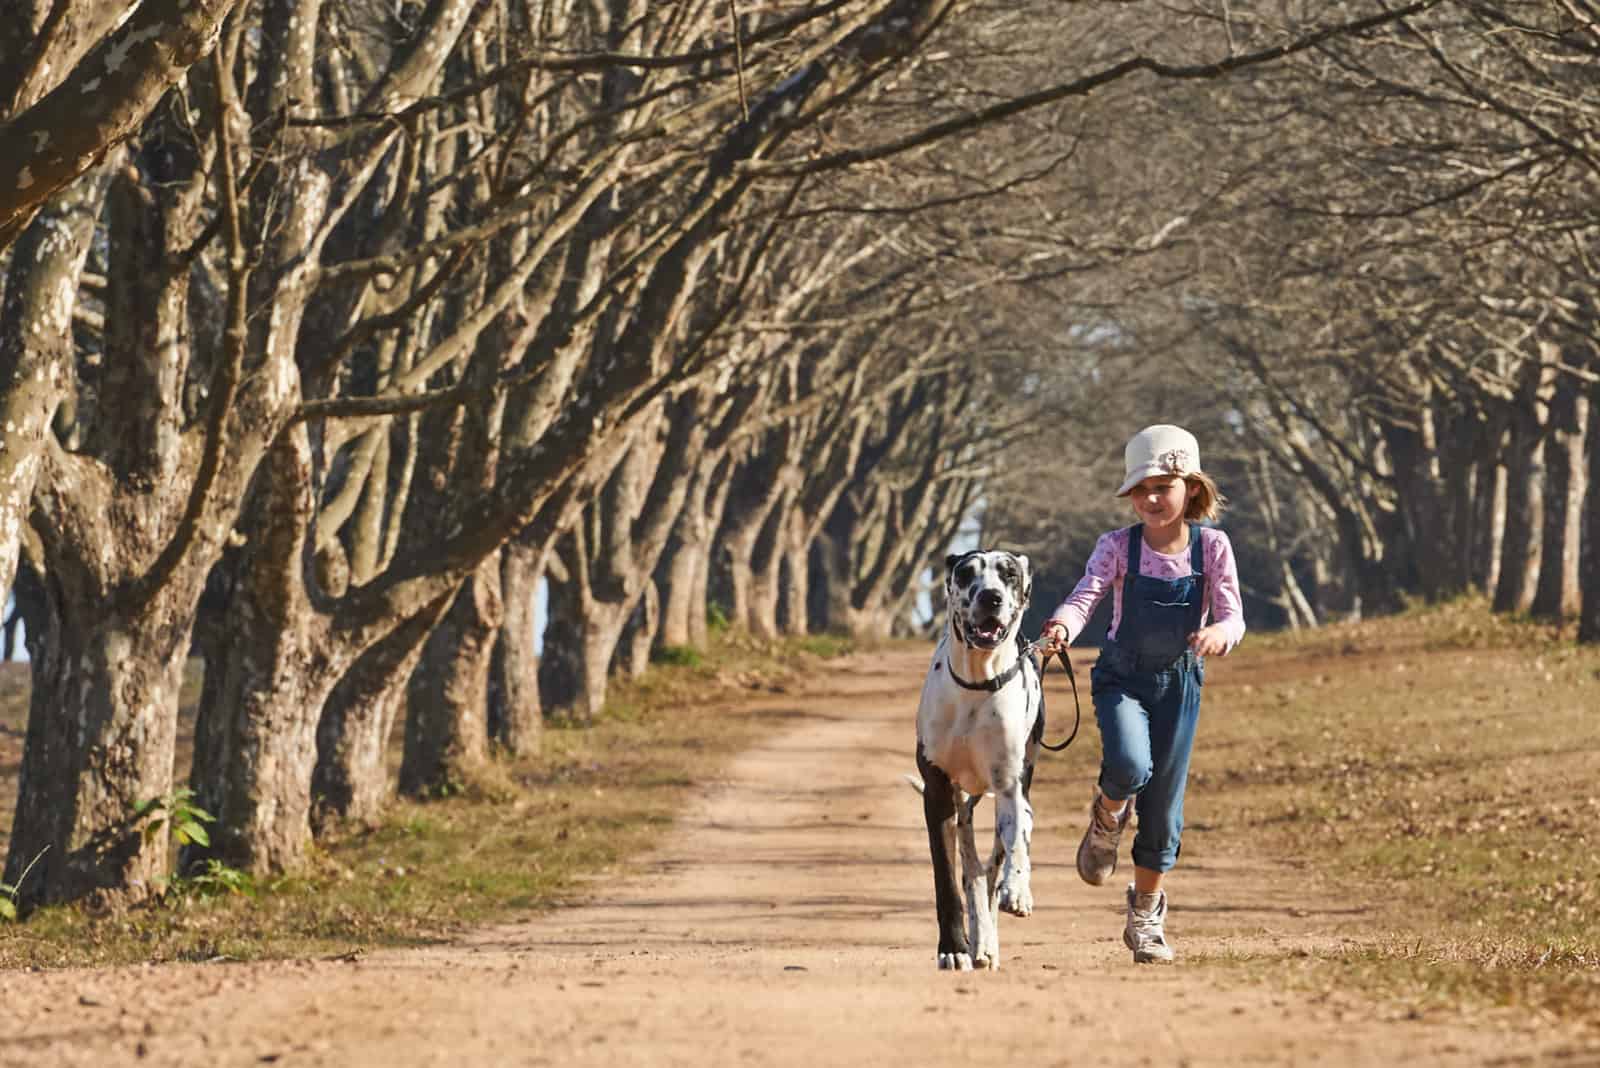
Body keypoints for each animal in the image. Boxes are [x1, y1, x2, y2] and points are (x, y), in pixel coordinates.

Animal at [921, 546, 1043, 972]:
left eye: (1009, 574)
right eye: (966, 573)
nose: (991, 597)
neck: (976, 682)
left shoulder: (1010, 785)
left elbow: (1016, 841)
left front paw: (1017, 888)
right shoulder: (937, 791)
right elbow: (947, 879)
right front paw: (953, 948)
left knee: (993, 864)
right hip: (963, 807)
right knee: (972, 871)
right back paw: (978, 942)